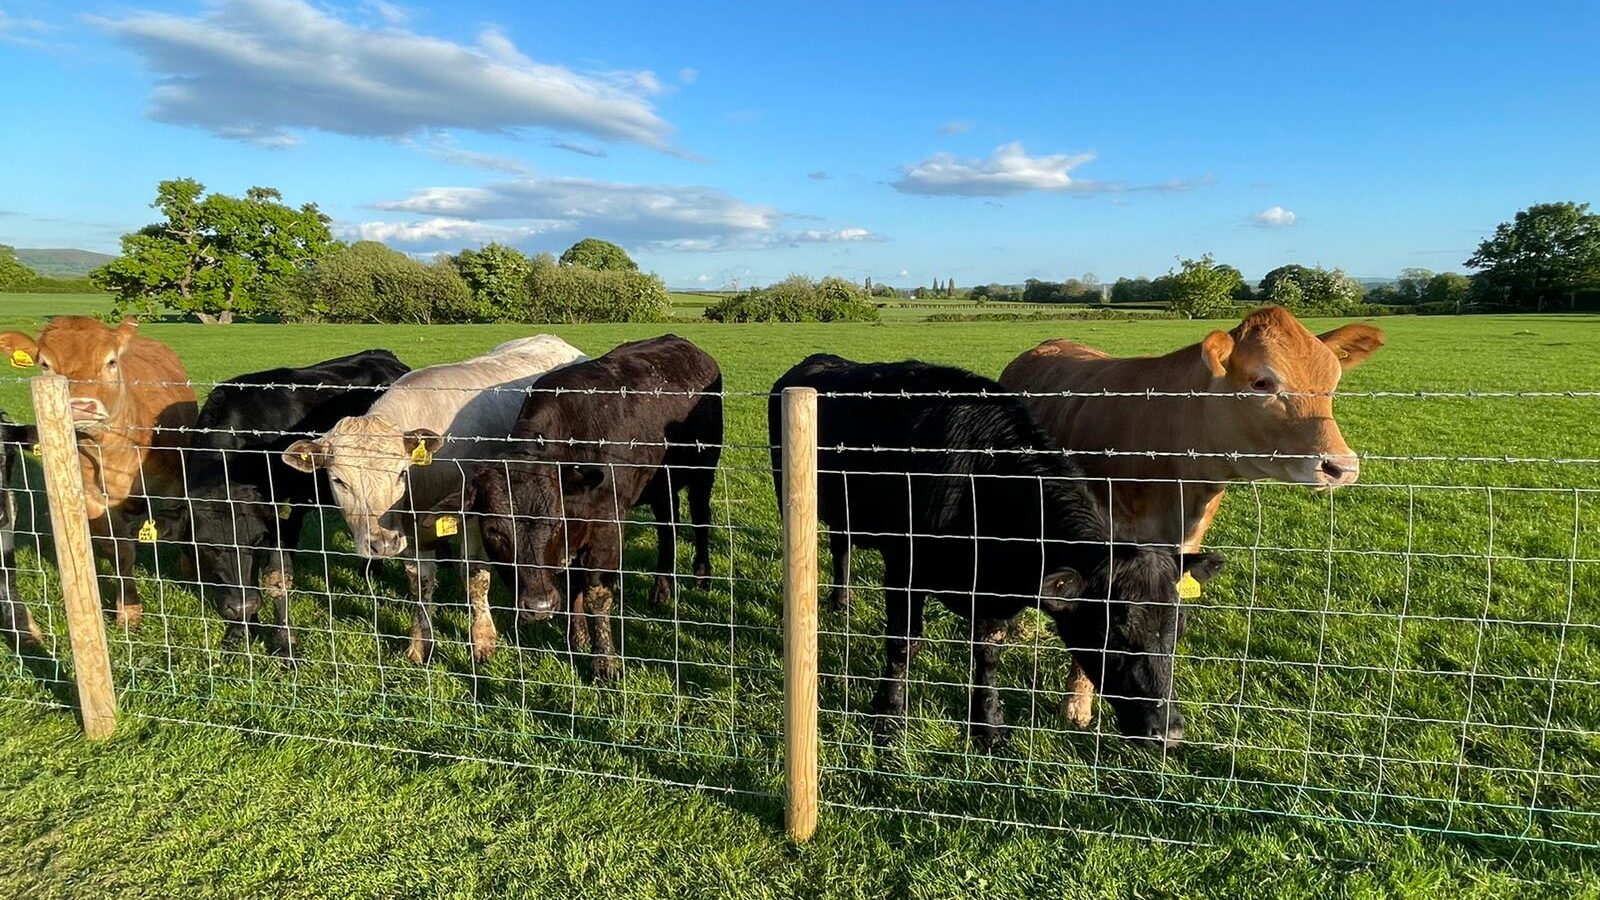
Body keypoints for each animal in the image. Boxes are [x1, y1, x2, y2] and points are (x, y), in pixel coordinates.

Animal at [0, 315, 196, 624]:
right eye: (45, 364)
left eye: (111, 361)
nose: (80, 407)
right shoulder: (91, 497)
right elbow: (119, 551)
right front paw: (128, 610)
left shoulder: (176, 483)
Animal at [432, 336, 720, 679]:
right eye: (494, 531)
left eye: (554, 523)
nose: (539, 606)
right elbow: (572, 585)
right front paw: (577, 638)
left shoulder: (607, 524)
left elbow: (598, 594)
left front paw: (604, 662)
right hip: (662, 483)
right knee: (667, 527)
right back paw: (662, 591)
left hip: (703, 470)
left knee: (700, 518)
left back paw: (701, 576)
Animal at [768, 353, 1216, 746]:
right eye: (1115, 630)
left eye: (1180, 628)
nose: (1167, 731)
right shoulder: (902, 568)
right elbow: (903, 643)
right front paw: (888, 717)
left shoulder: (994, 596)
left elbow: (988, 654)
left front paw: (988, 726)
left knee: (841, 544)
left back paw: (841, 602)